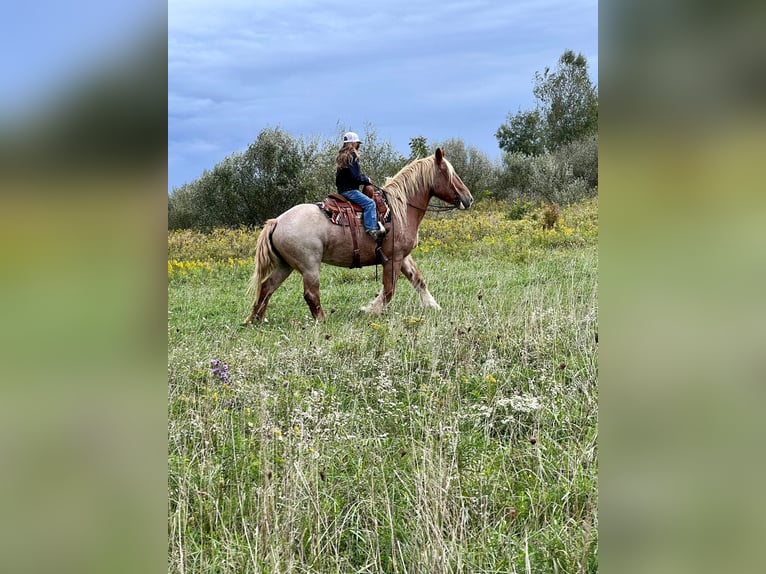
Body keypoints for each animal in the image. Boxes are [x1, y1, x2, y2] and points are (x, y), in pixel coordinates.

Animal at [246, 147, 474, 324]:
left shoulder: (403, 257)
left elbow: (418, 280)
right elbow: (389, 290)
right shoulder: (392, 258)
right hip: (309, 266)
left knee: (266, 287)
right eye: (449, 173)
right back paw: (322, 320)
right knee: (310, 294)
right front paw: (370, 310)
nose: (469, 198)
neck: (400, 209)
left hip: (285, 265)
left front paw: (433, 306)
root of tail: (277, 222)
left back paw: (256, 319)